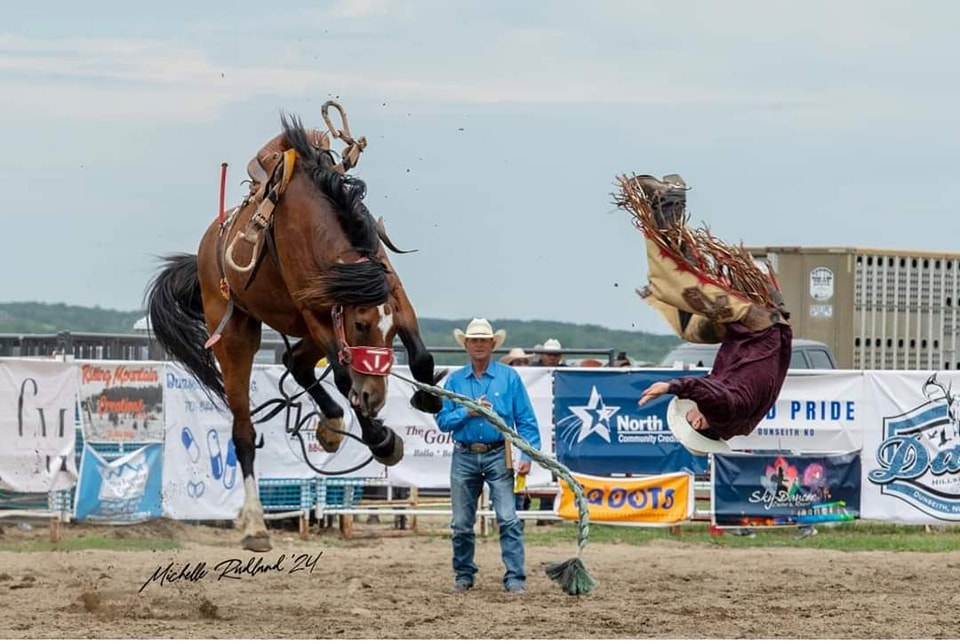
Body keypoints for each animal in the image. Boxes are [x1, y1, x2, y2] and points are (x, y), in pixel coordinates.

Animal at [146, 112, 442, 552]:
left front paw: (428, 397)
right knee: (244, 434)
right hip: (236, 335)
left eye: (388, 334)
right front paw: (381, 440)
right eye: (359, 325)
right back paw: (255, 525)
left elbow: (420, 355)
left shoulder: (394, 296)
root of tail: (205, 251)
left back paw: (332, 424)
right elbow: (343, 375)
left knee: (294, 361)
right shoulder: (316, 313)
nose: (374, 397)